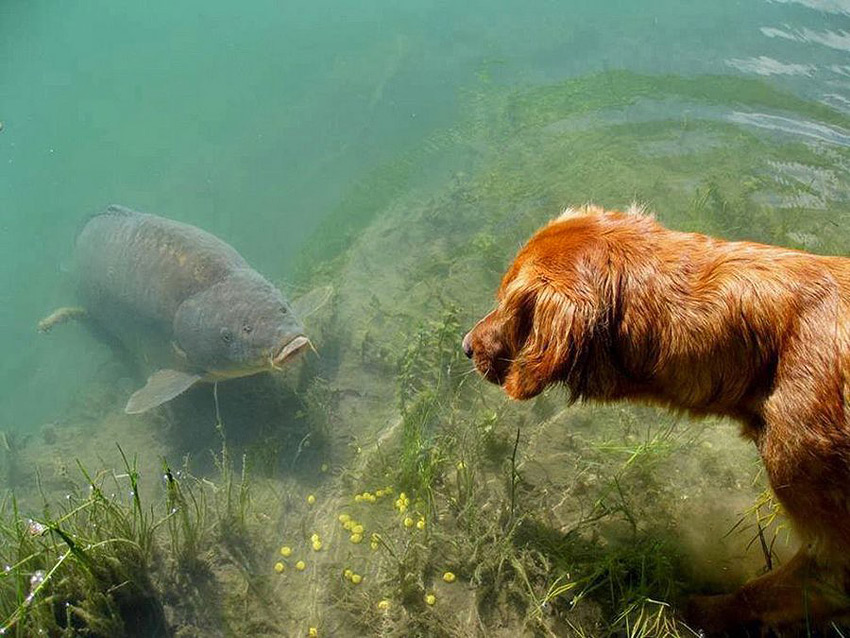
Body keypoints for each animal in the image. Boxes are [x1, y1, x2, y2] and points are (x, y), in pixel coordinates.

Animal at [460, 206, 848, 636]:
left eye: (507, 304)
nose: (465, 346)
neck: (768, 349)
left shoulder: (831, 553)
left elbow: (757, 593)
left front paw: (691, 611)